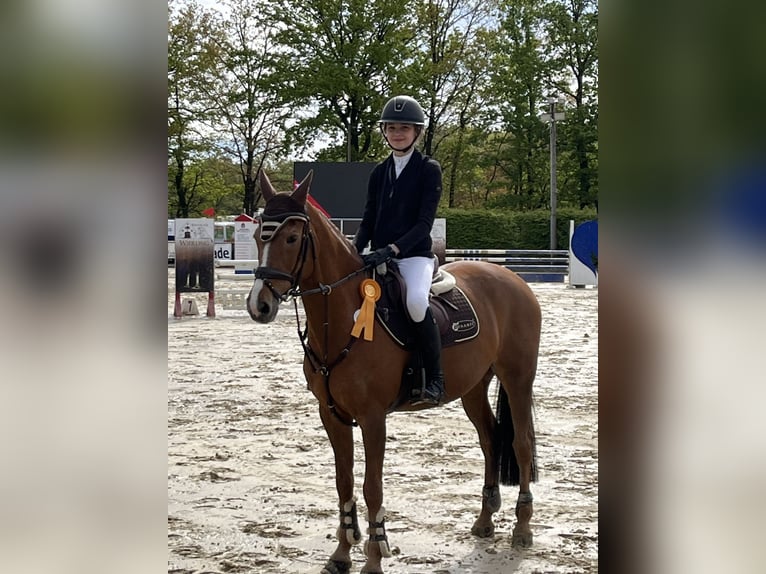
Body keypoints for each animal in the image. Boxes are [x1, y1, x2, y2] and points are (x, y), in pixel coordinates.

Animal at [246, 172, 540, 574]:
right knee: (491, 438)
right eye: (257, 235)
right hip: (474, 387)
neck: (343, 317)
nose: (258, 305)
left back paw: (522, 528)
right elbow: (344, 482)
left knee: (520, 443)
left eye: (291, 238)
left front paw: (374, 556)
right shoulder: (331, 415)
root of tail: (513, 278)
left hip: (517, 378)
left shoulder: (373, 417)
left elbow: (372, 486)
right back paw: (484, 520)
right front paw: (341, 554)